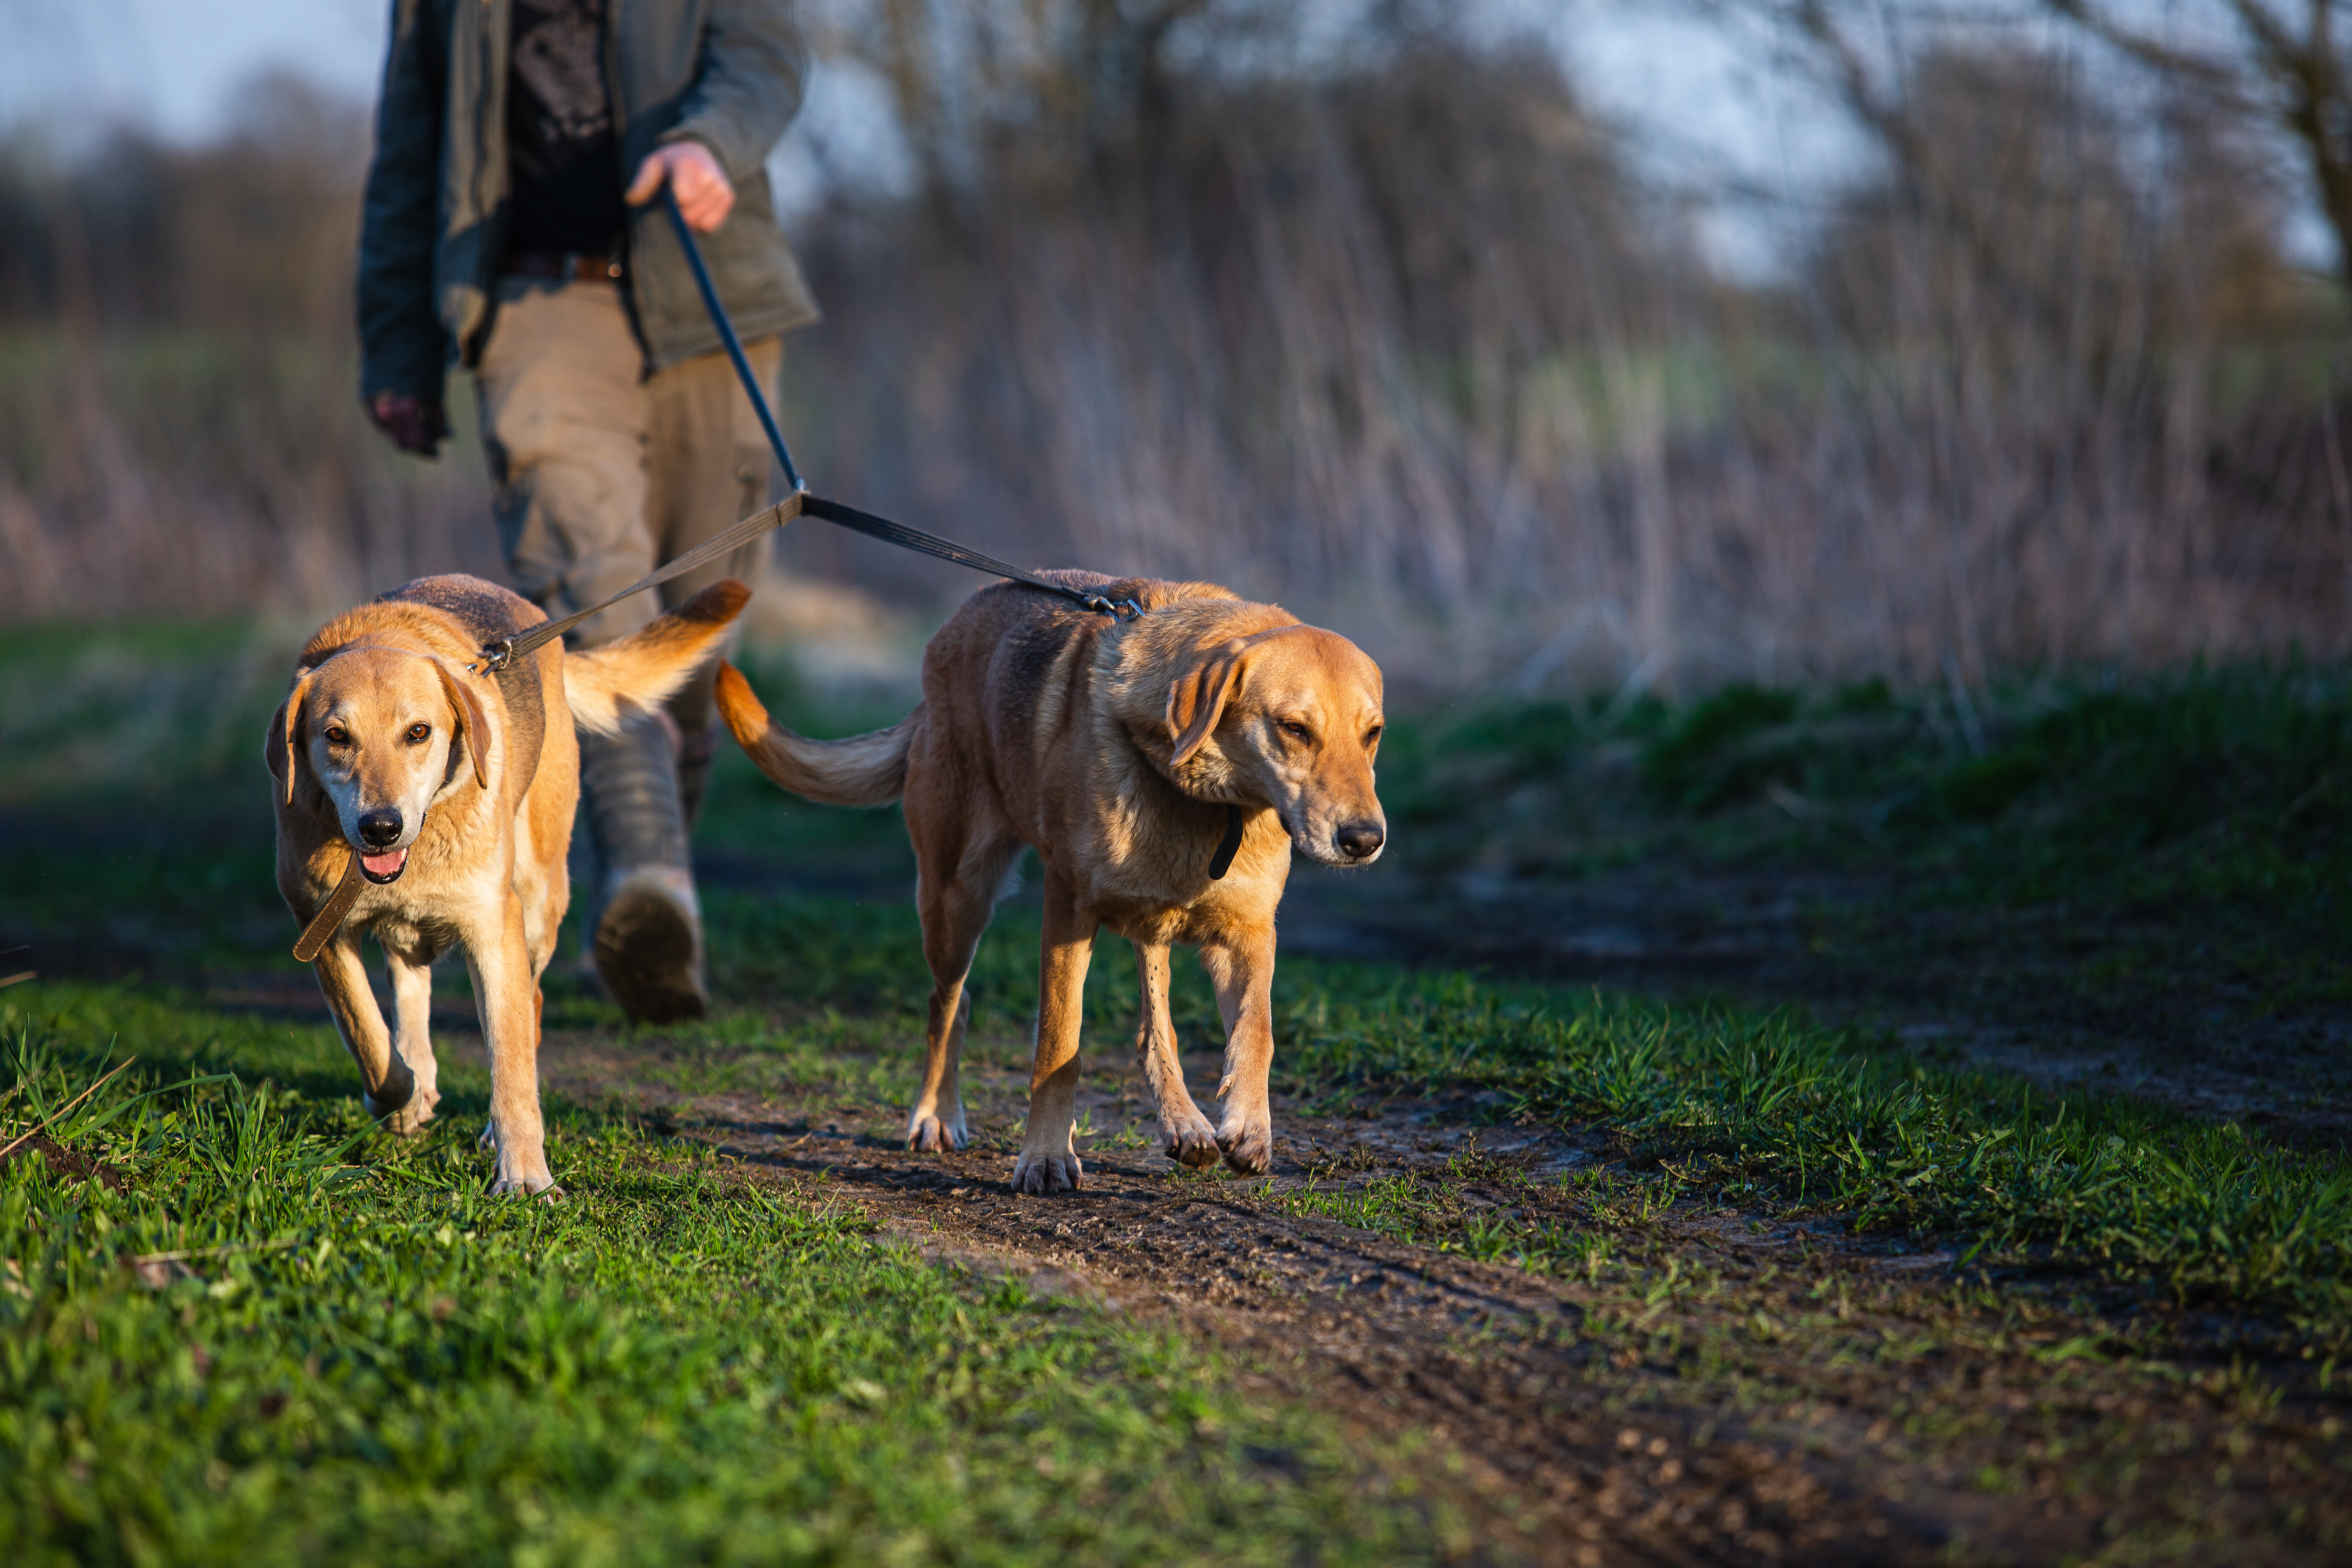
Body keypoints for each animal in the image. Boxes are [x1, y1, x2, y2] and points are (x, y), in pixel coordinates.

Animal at [268, 571, 748, 1194]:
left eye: (418, 732)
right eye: (336, 736)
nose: (380, 828)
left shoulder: (494, 932)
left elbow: (512, 1067)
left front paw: (523, 1176)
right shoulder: (318, 925)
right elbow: (369, 1038)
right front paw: (402, 1098)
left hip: (539, 901)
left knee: (532, 1005)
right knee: (408, 982)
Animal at [710, 571, 1373, 1194]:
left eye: (1374, 734)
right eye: (1293, 728)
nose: (1366, 839)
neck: (1204, 799)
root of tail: (941, 652)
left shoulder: (1249, 932)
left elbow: (1256, 1033)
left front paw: (1250, 1129)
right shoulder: (1067, 908)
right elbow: (1059, 1043)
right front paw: (1047, 1158)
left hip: (1140, 922)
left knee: (1152, 1030)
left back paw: (1185, 1124)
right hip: (955, 902)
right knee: (948, 1004)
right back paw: (935, 1116)